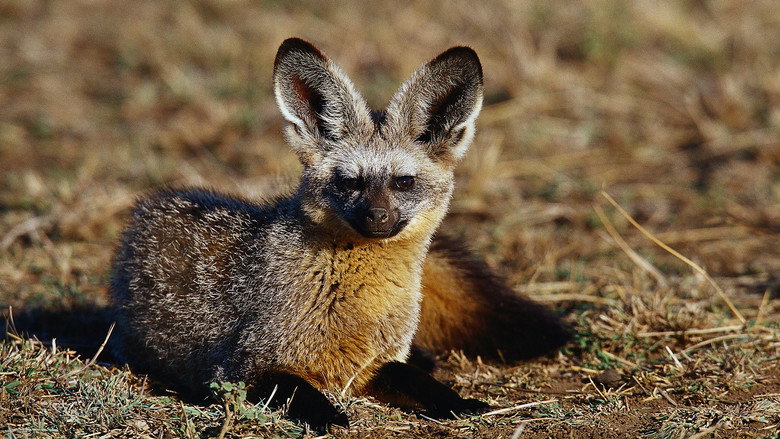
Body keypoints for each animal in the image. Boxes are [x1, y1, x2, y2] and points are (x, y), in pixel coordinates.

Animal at [110, 37, 571, 431]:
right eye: (350, 182)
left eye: (403, 182)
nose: (377, 217)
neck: (359, 301)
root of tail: (153, 204)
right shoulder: (240, 368)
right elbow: (297, 390)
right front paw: (330, 416)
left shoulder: (373, 364)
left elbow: (419, 381)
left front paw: (458, 403)